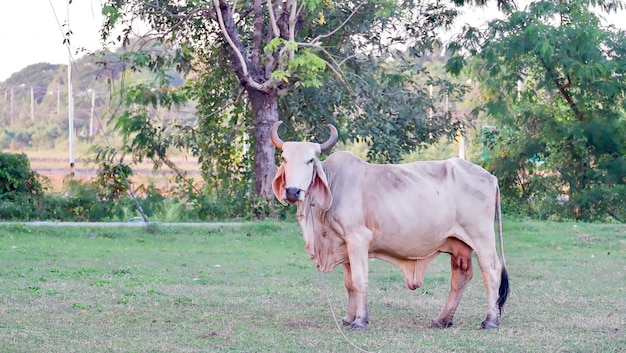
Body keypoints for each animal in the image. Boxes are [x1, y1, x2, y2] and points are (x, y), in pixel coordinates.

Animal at [268, 121, 508, 330]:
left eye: (310, 160)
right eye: (284, 158)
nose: (292, 191)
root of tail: (491, 177)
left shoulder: (358, 238)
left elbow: (359, 280)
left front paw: (360, 321)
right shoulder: (344, 245)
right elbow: (349, 284)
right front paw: (348, 318)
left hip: (481, 237)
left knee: (491, 271)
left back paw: (490, 321)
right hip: (459, 245)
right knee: (461, 277)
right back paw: (442, 320)